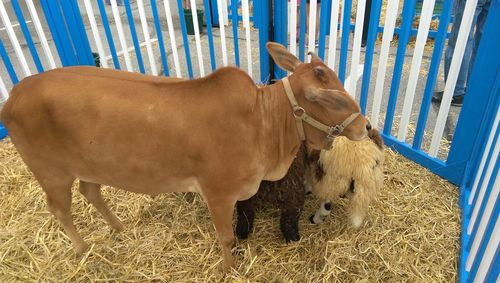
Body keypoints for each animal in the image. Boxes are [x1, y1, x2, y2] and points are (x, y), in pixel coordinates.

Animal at [1, 42, 370, 270]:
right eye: (328, 99)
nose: (365, 126)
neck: (261, 122)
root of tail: (17, 91)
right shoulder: (219, 193)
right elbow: (226, 236)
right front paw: (229, 269)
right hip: (51, 172)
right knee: (60, 209)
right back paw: (82, 249)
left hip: (90, 165)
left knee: (90, 191)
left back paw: (119, 228)